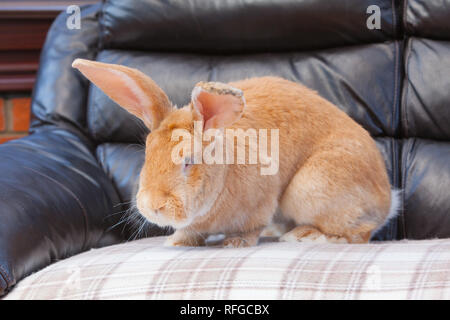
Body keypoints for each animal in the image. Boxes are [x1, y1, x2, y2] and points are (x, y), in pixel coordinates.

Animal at [72, 57, 400, 248]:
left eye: (188, 162)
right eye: (147, 156)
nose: (154, 206)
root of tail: (388, 197)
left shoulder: (260, 203)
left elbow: (249, 229)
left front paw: (235, 243)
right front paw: (178, 242)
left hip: (311, 187)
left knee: (360, 233)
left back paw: (305, 235)